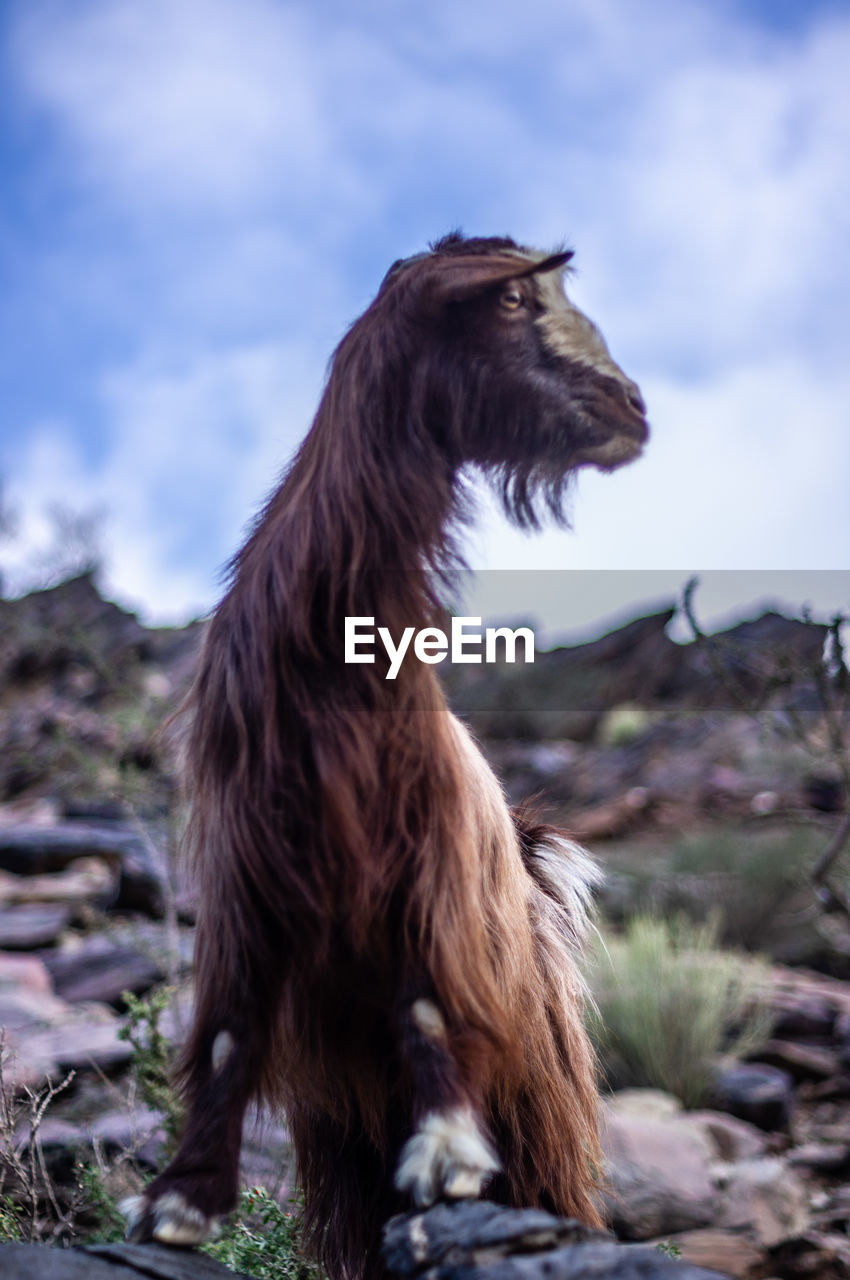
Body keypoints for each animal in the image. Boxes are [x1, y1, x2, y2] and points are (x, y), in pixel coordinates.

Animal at [124, 235, 645, 1274]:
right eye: (516, 299)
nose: (634, 408)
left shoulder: (425, 872)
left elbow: (429, 1006)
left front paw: (447, 1157)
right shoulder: (248, 870)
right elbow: (230, 1031)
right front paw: (179, 1203)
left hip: (544, 1091)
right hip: (344, 1137)